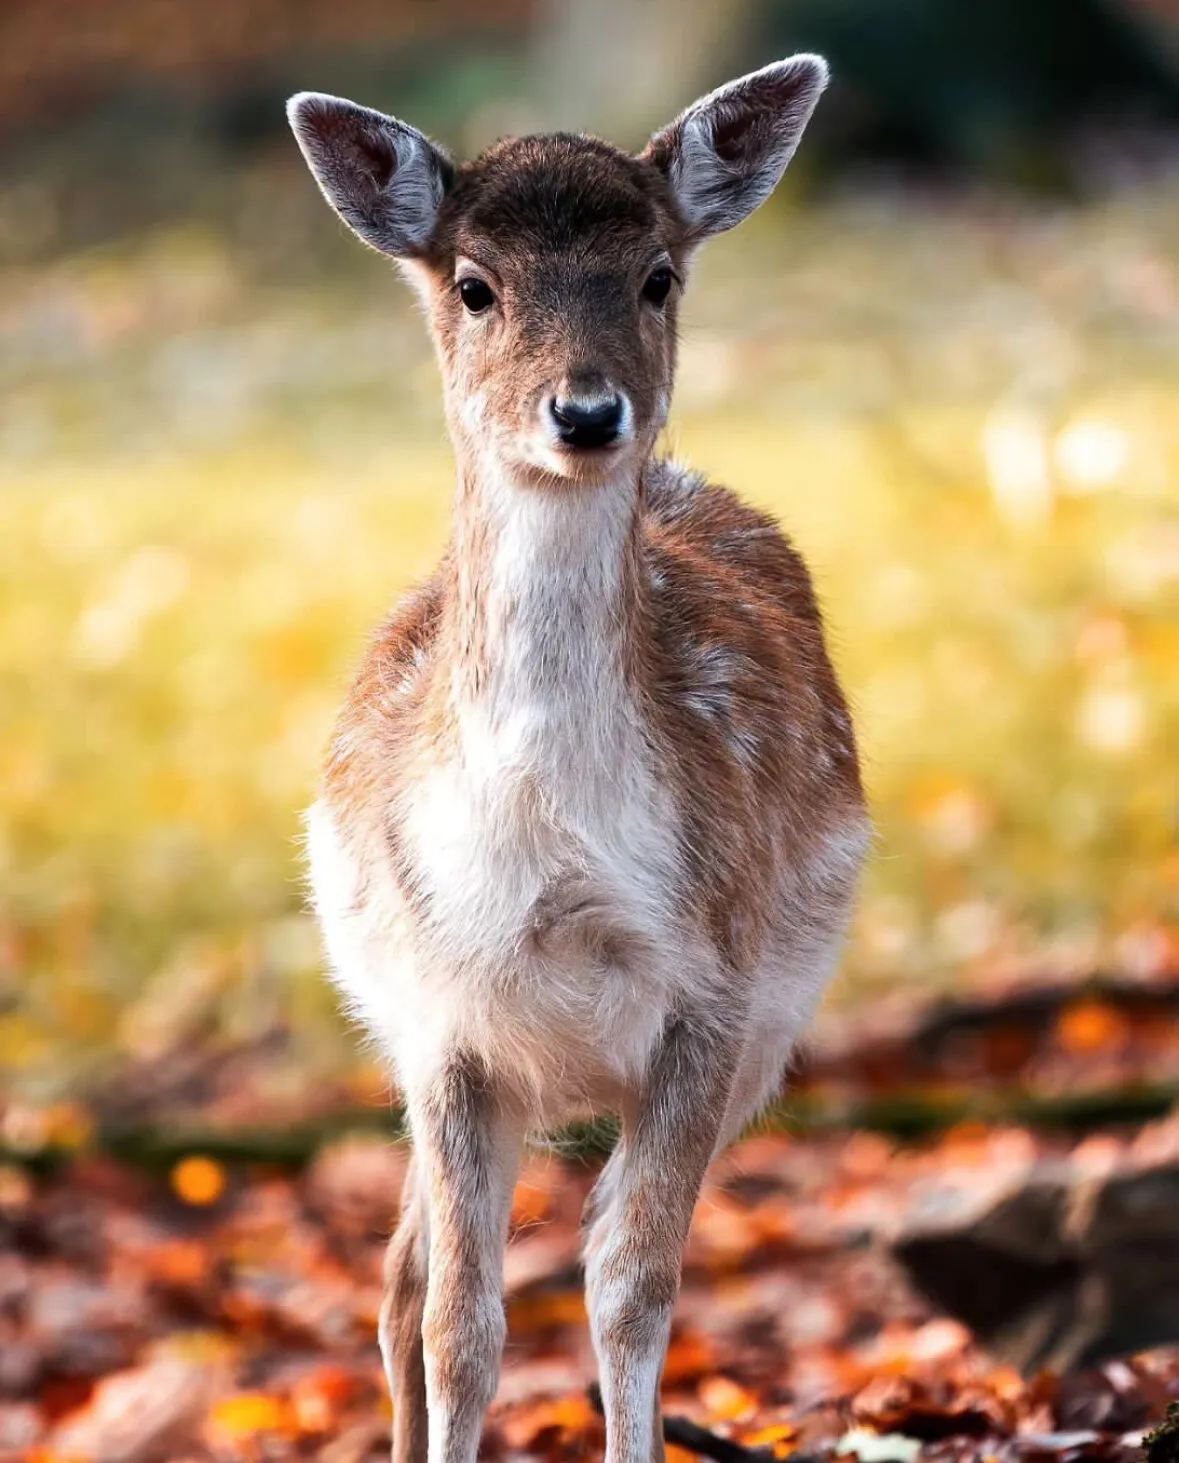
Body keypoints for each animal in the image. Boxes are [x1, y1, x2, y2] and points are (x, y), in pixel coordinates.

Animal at [289, 53, 867, 1463]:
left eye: (656, 273)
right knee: (401, 1279)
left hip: (766, 1023)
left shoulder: (714, 989)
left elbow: (631, 1280)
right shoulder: (443, 1013)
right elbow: (463, 1318)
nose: (590, 411)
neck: (548, 844)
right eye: (474, 283)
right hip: (398, 1022)